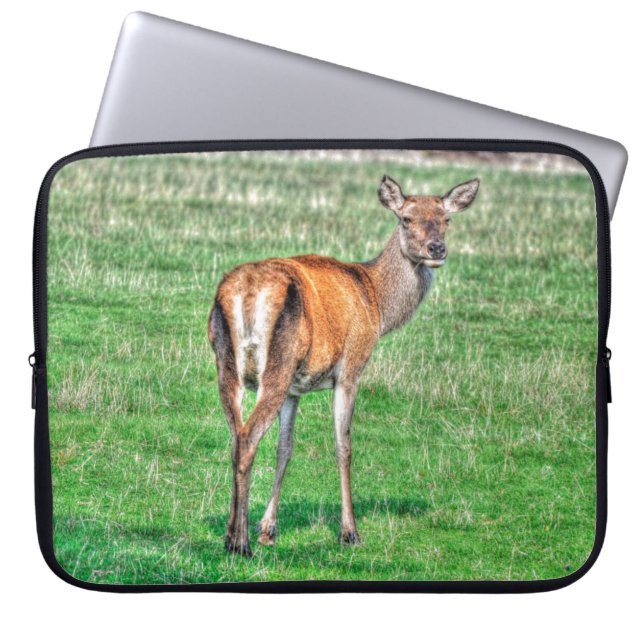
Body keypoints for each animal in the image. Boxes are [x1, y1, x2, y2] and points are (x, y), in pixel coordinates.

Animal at [208, 174, 480, 556]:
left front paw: (269, 529)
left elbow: (284, 448)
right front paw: (350, 532)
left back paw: (231, 534)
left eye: (447, 219)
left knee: (235, 437)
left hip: (227, 365)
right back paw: (241, 544)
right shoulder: (351, 367)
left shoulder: (296, 389)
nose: (436, 249)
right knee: (247, 439)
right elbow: (344, 446)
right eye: (406, 218)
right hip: (276, 365)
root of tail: (244, 293)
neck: (377, 306)